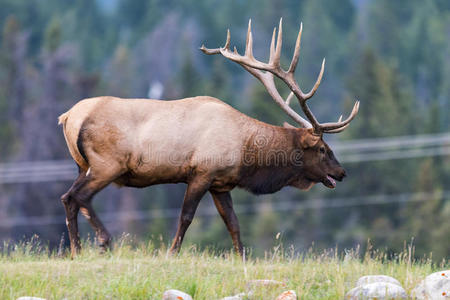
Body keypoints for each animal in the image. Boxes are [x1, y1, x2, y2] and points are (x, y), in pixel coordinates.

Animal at [58, 19, 358, 258]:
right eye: (322, 148)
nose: (342, 172)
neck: (247, 152)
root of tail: (69, 116)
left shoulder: (221, 184)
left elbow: (233, 223)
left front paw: (242, 258)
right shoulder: (202, 171)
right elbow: (186, 216)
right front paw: (172, 253)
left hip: (83, 165)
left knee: (67, 197)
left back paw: (76, 250)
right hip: (108, 163)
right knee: (79, 197)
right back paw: (104, 241)